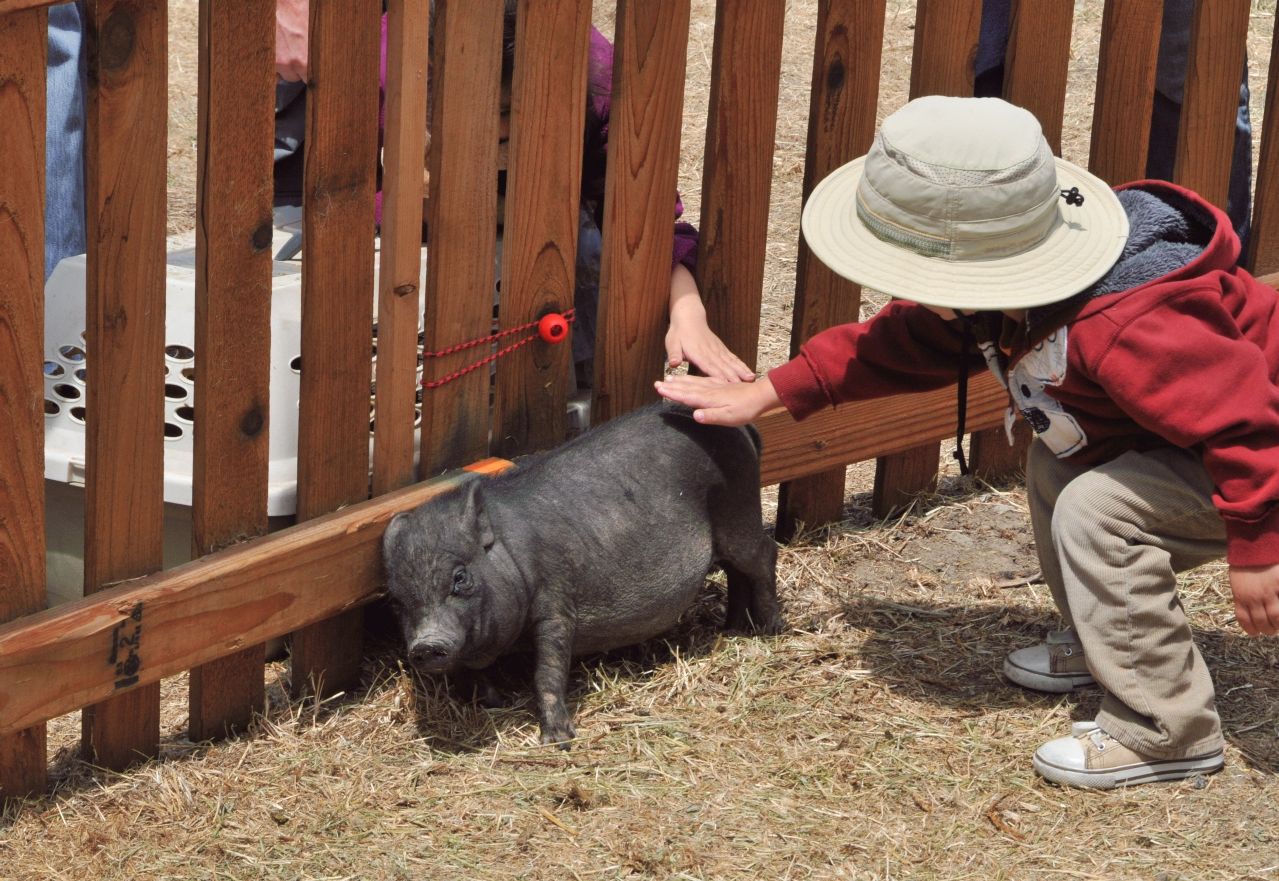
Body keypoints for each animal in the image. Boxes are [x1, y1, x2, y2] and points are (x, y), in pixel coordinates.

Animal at [378, 401, 777, 746]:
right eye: (396, 600)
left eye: (460, 577)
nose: (426, 644)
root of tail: (740, 427)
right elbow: (470, 672)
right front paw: (495, 701)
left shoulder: (556, 603)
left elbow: (548, 670)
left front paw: (558, 741)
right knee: (737, 571)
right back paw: (733, 630)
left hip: (738, 509)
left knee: (764, 554)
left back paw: (770, 629)